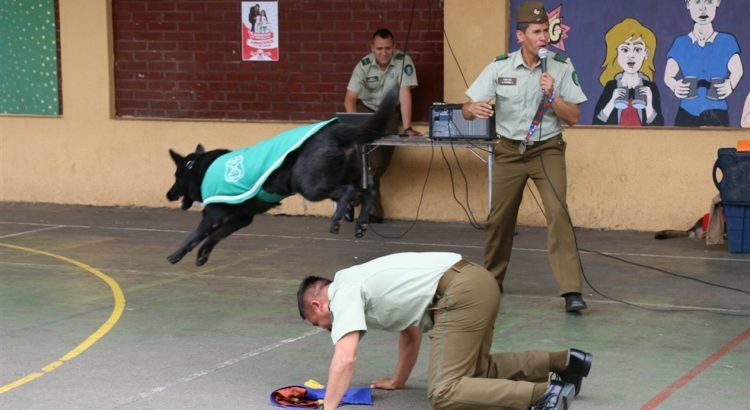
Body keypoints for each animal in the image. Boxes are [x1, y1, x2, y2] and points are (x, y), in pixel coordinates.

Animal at [166, 89, 398, 266]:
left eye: (176, 176)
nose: (168, 195)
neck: (200, 169)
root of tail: (335, 132)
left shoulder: (212, 217)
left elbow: (194, 236)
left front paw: (176, 254)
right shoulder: (240, 220)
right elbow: (214, 237)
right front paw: (202, 255)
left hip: (310, 186)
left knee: (348, 192)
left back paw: (337, 220)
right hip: (345, 177)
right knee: (368, 192)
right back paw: (361, 224)